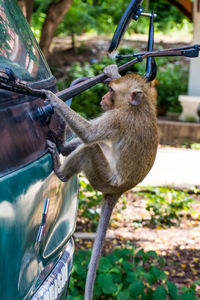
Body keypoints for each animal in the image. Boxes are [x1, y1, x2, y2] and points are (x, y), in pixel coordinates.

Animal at [43, 64, 158, 298]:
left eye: (112, 92)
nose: (104, 97)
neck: (137, 106)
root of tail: (119, 190)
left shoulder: (117, 118)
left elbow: (89, 133)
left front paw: (52, 99)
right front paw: (113, 72)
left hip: (103, 177)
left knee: (90, 147)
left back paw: (60, 170)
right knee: (99, 144)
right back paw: (63, 144)